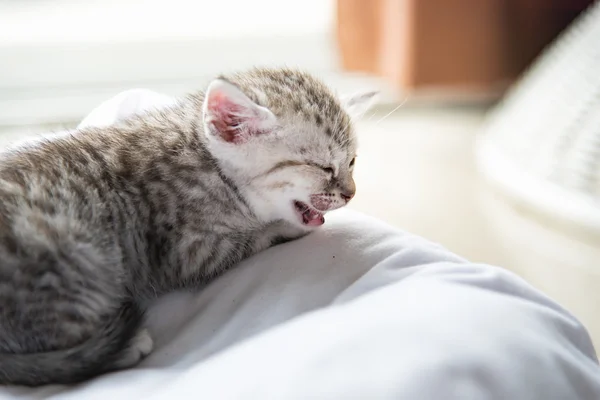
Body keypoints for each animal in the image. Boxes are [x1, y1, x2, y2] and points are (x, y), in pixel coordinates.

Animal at [0, 67, 376, 386]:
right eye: (323, 168)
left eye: (352, 162)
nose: (351, 193)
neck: (211, 166)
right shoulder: (182, 251)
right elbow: (248, 240)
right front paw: (282, 227)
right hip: (81, 259)